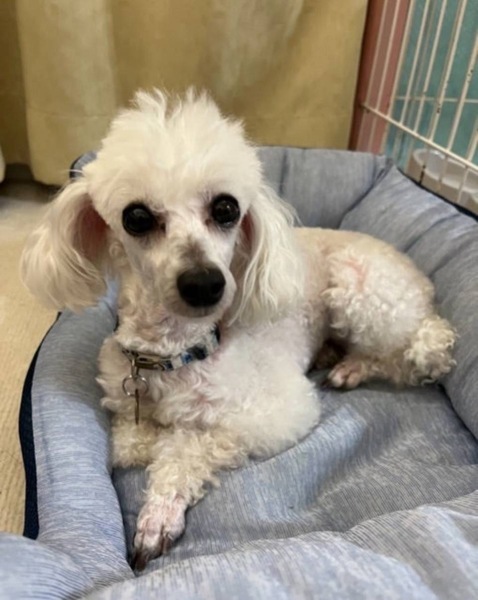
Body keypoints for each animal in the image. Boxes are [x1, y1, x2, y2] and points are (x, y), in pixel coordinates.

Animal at [21, 90, 456, 570]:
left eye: (226, 208)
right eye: (136, 217)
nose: (204, 283)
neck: (175, 355)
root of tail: (420, 280)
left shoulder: (277, 414)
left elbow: (189, 445)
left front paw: (158, 515)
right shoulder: (123, 403)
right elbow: (133, 441)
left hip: (363, 289)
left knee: (412, 353)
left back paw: (355, 367)